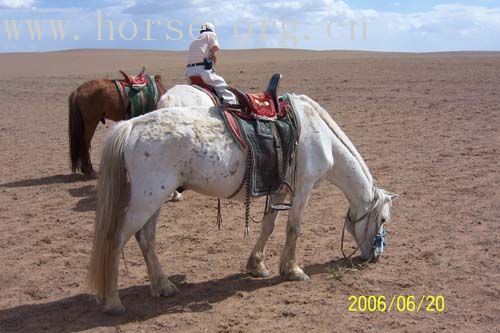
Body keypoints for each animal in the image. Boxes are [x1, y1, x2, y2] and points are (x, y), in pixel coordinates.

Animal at [87, 94, 398, 314]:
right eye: (383, 219)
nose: (375, 256)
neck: (319, 135)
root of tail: (131, 126)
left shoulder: (279, 192)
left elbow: (269, 226)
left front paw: (257, 266)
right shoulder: (303, 189)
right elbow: (293, 229)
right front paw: (293, 271)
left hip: (155, 199)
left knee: (145, 238)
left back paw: (163, 286)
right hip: (146, 199)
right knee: (116, 240)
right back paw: (113, 301)